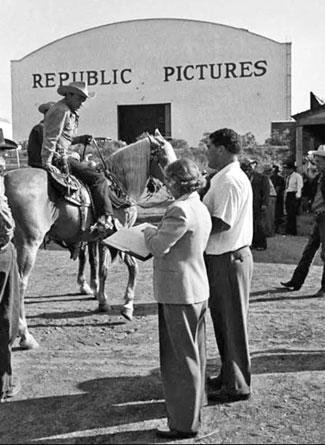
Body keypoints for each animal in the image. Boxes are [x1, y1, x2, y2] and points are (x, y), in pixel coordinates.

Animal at [3, 130, 176, 348]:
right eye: (163, 157)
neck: (118, 185)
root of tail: (5, 179)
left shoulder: (101, 238)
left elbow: (101, 268)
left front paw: (102, 299)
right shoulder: (120, 233)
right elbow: (130, 266)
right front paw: (127, 306)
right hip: (28, 243)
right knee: (20, 284)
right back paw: (26, 336)